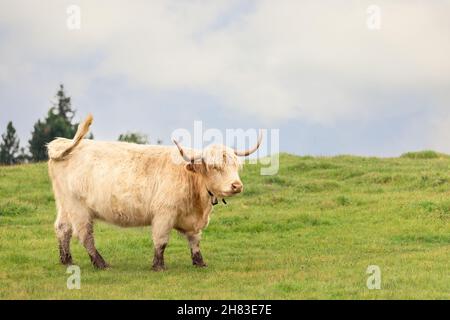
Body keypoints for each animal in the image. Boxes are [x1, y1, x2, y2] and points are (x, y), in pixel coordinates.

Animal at [46, 115, 260, 270]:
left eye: (236, 165)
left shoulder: (192, 222)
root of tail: (62, 144)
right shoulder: (164, 214)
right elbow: (161, 241)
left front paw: (199, 262)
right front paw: (158, 266)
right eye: (215, 167)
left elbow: (195, 241)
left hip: (65, 205)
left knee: (63, 228)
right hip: (79, 209)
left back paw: (67, 261)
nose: (236, 185)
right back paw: (101, 263)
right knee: (85, 235)